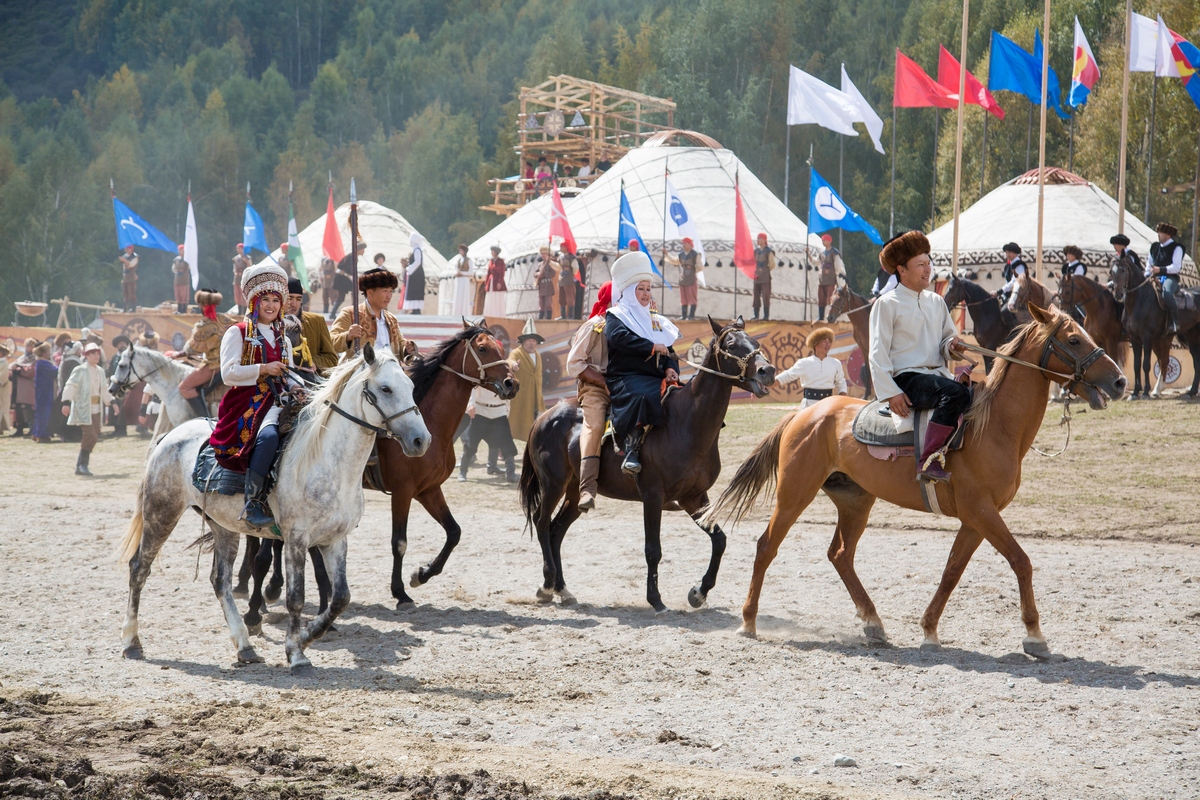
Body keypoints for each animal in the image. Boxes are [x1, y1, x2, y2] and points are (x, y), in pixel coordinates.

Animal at [115, 345, 432, 676]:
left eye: (410, 386)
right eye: (385, 388)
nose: (420, 440)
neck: (328, 461)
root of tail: (170, 437)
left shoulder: (335, 540)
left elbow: (340, 598)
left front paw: (307, 636)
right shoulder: (296, 540)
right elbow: (295, 598)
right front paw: (296, 653)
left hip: (223, 527)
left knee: (220, 581)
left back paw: (245, 646)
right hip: (161, 512)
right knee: (139, 569)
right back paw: (131, 642)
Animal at [376, 321, 513, 606]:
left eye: (501, 348)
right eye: (482, 349)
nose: (511, 383)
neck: (430, 424)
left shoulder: (429, 490)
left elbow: (454, 532)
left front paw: (422, 574)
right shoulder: (403, 491)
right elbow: (399, 542)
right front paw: (400, 592)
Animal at [520, 319, 772, 614]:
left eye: (755, 342)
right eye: (731, 345)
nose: (768, 371)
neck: (686, 422)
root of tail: (544, 417)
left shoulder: (694, 497)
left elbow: (719, 540)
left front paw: (699, 592)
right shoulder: (652, 496)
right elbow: (653, 549)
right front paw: (656, 599)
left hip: (576, 492)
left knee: (556, 530)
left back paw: (562, 589)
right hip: (554, 484)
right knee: (542, 522)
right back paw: (547, 585)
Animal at [700, 304, 1123, 657]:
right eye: (1073, 339)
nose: (1119, 381)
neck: (993, 426)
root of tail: (806, 413)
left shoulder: (975, 519)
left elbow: (952, 571)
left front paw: (929, 629)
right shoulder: (982, 512)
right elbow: (1021, 561)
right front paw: (1034, 635)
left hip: (856, 501)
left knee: (840, 555)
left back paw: (873, 622)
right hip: (794, 495)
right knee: (767, 546)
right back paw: (749, 621)